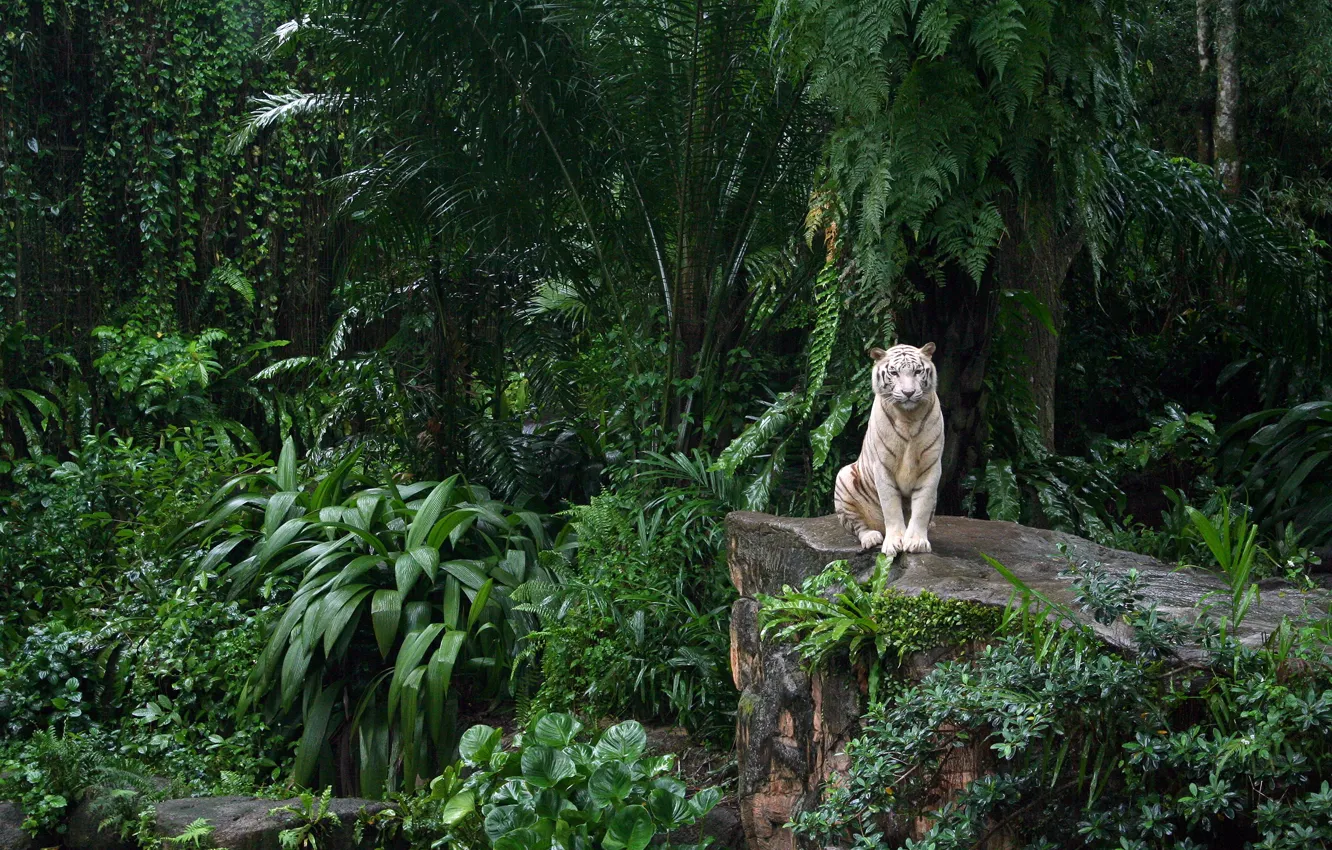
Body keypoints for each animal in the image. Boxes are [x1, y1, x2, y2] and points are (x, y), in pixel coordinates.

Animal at [833, 342, 944, 556]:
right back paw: (871, 537)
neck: (909, 417)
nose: (909, 393)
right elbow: (891, 507)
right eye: (894, 373)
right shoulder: (882, 466)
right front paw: (895, 542)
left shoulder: (931, 465)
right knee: (858, 526)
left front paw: (916, 542)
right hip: (843, 478)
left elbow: (922, 506)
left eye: (917, 371)